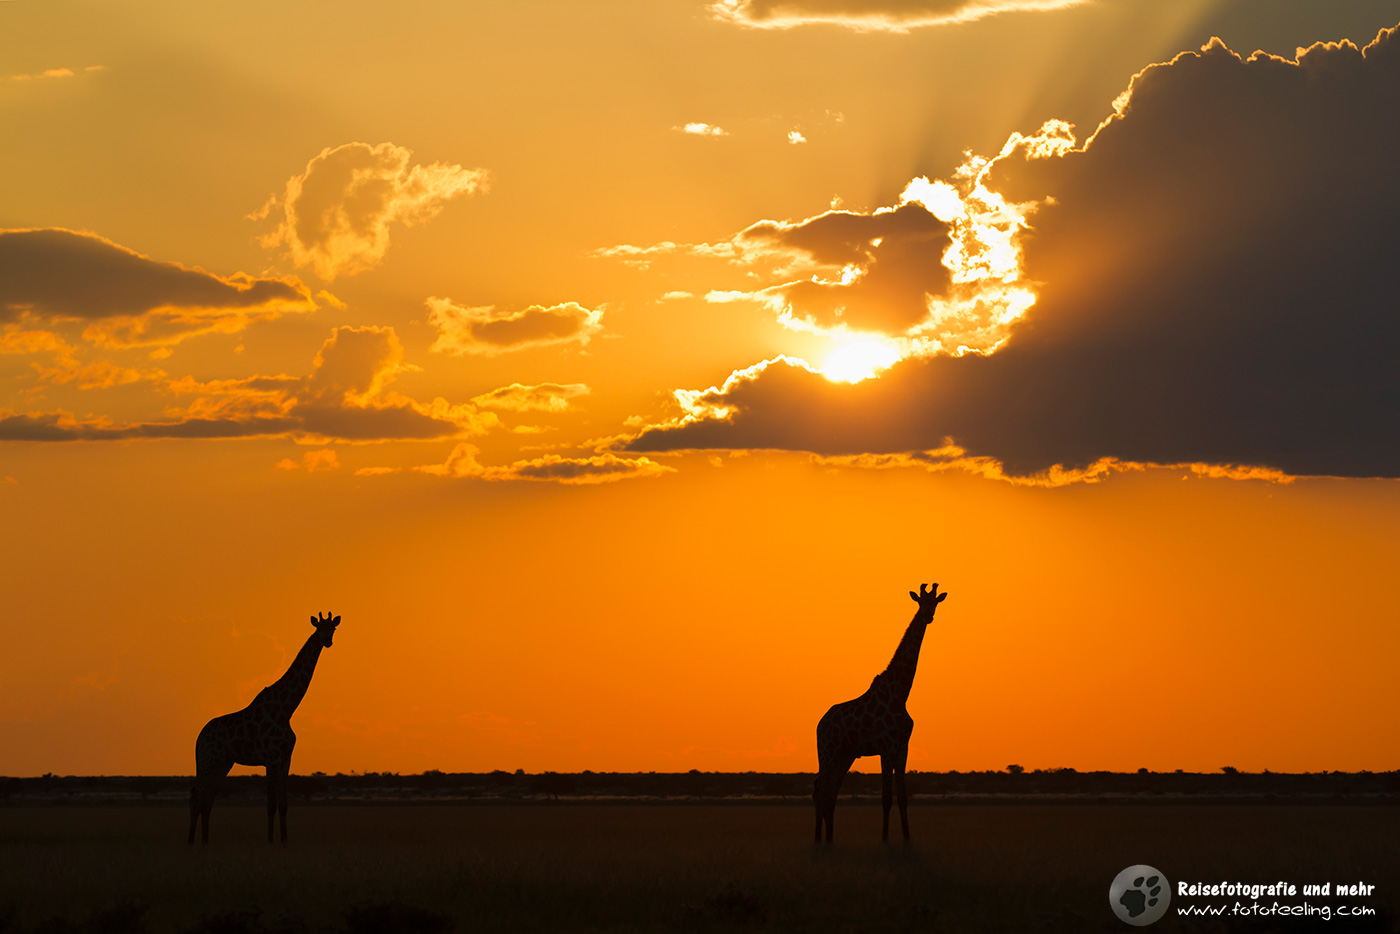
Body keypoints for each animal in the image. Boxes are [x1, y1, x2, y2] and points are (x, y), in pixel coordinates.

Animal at [188, 612, 341, 845]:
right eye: (319, 628)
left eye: (333, 628)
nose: (327, 641)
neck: (287, 709)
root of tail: (199, 737)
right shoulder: (271, 757)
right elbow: (270, 804)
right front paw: (269, 841)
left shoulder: (286, 758)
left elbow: (283, 804)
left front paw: (284, 841)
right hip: (207, 760)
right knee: (197, 795)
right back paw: (190, 842)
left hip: (223, 763)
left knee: (207, 799)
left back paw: (205, 842)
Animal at [813, 583, 948, 844]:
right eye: (920, 602)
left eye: (935, 602)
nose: (928, 616)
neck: (900, 693)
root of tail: (819, 725)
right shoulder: (885, 747)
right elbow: (886, 798)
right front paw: (885, 840)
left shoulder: (902, 747)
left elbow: (903, 797)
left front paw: (907, 840)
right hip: (828, 752)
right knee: (818, 789)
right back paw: (817, 841)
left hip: (845, 755)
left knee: (830, 792)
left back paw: (830, 840)